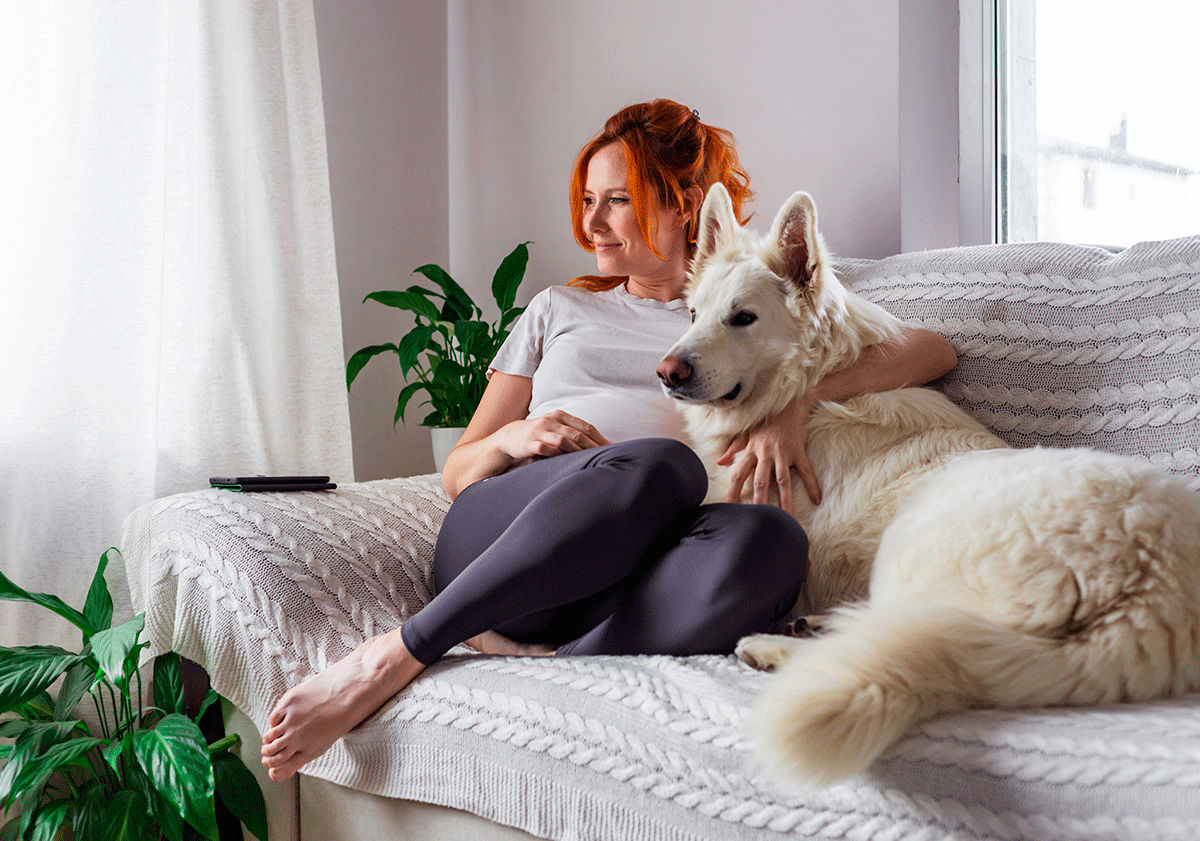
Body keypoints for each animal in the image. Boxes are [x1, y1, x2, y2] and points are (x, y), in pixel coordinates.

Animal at [657, 182, 1200, 787]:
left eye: (743, 318)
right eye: (694, 313)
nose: (667, 372)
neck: (808, 388)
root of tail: (1150, 588)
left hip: (909, 544)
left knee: (895, 642)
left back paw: (777, 646)